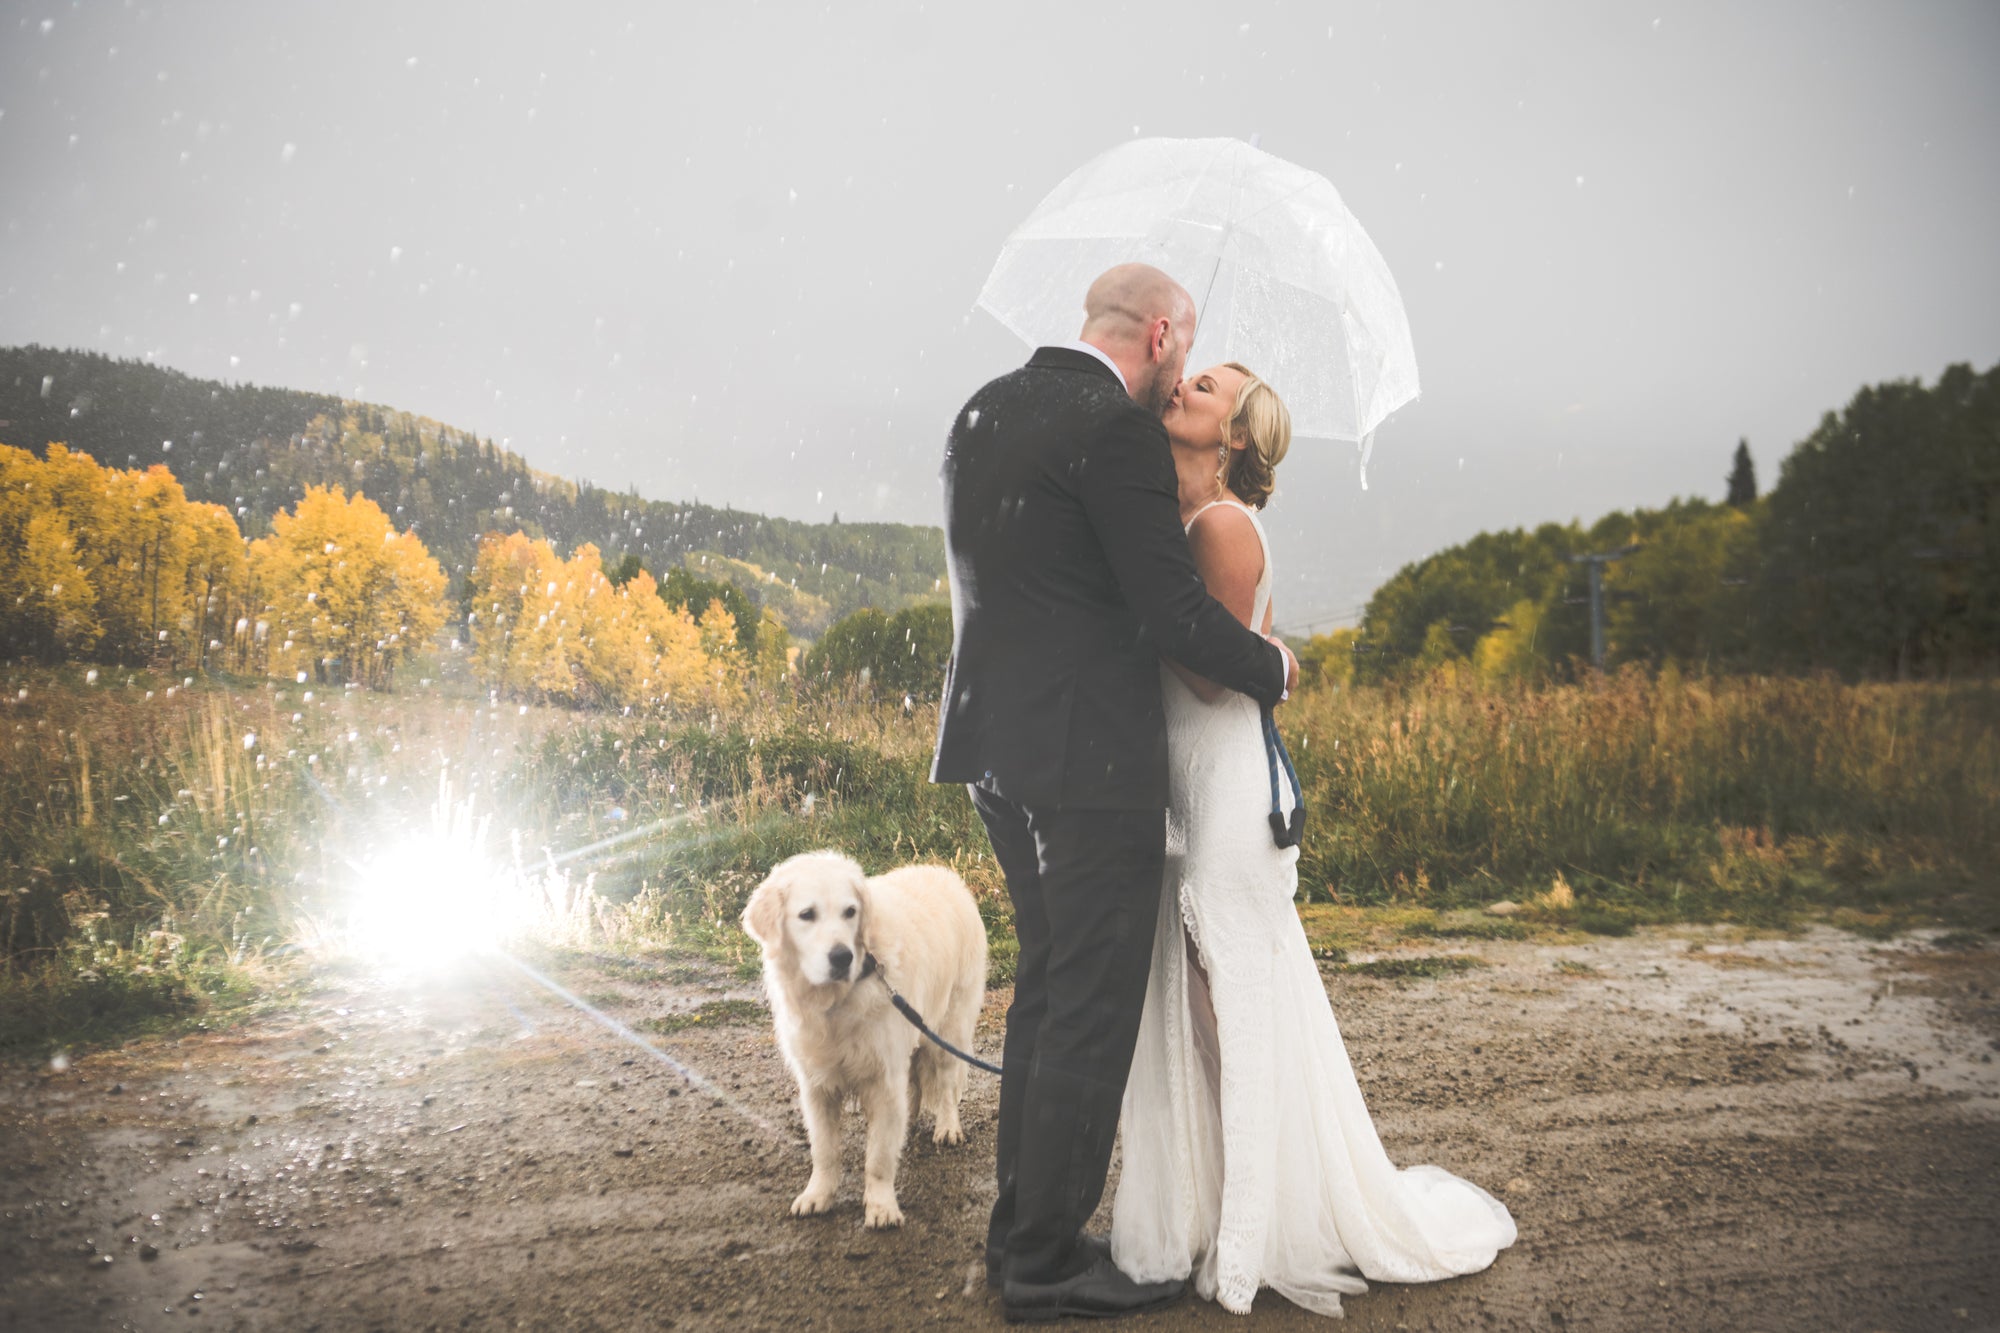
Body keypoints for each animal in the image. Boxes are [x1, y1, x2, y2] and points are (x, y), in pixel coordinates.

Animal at [740, 852, 988, 1224]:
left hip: (948, 1030)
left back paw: (947, 1128)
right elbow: (825, 1151)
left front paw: (881, 1206)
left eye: (850, 911)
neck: (835, 1001)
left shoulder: (883, 1077)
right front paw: (818, 1195)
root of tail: (946, 874)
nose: (842, 957)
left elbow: (879, 1158)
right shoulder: (817, 1086)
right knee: (913, 1088)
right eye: (806, 914)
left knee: (945, 1085)